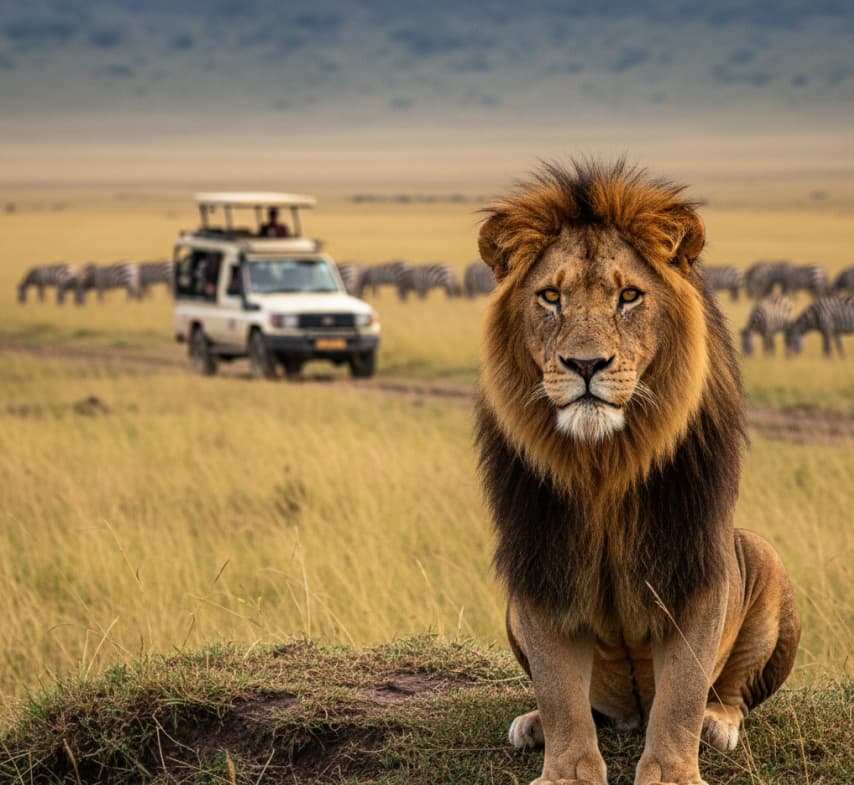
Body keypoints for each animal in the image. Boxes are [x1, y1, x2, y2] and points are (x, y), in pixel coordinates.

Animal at [475, 161, 801, 785]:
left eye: (629, 296)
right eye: (550, 297)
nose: (585, 364)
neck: (604, 463)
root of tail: (630, 713)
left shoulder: (693, 559)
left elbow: (682, 692)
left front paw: (673, 773)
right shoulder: (539, 558)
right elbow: (559, 689)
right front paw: (566, 770)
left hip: (761, 555)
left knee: (729, 691)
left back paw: (718, 723)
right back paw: (532, 724)